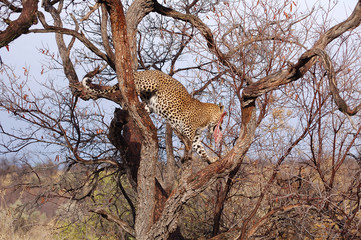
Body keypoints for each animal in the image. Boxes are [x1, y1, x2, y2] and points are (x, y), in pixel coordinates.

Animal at [81, 69, 225, 163]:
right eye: (222, 120)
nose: (222, 128)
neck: (207, 119)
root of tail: (141, 71)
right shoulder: (189, 131)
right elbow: (189, 146)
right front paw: (186, 157)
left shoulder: (195, 137)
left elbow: (200, 150)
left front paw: (210, 159)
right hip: (150, 83)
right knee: (129, 87)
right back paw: (128, 89)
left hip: (149, 104)